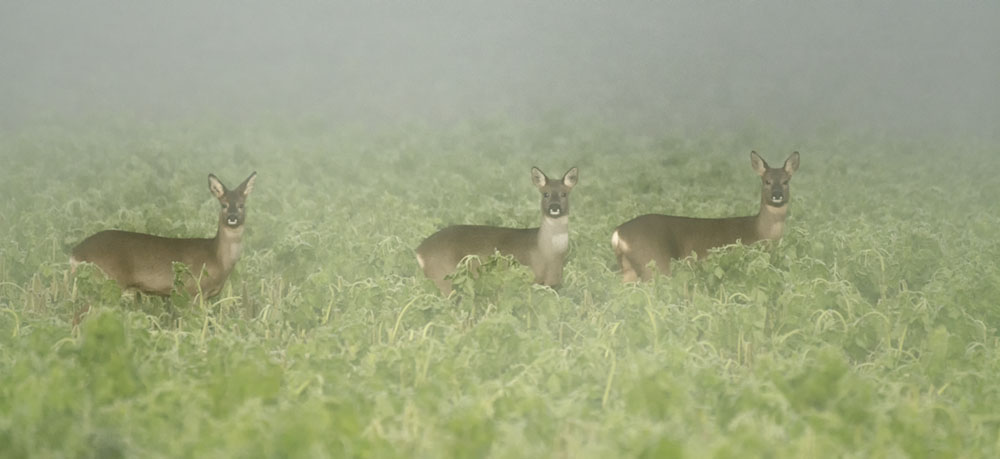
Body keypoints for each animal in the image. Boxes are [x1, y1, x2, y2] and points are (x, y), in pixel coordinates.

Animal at [70, 172, 258, 298]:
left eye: (241, 205)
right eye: (224, 205)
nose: (232, 217)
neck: (216, 258)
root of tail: (75, 253)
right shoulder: (191, 290)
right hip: (106, 281)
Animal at [418, 167, 584, 296]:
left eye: (564, 194)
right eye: (546, 194)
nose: (554, 207)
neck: (548, 253)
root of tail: (419, 251)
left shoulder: (553, 283)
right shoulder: (531, 278)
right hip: (443, 275)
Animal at [608, 153, 796, 282]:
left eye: (786, 181)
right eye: (767, 181)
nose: (777, 195)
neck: (759, 231)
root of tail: (617, 234)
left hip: (628, 268)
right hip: (653, 262)